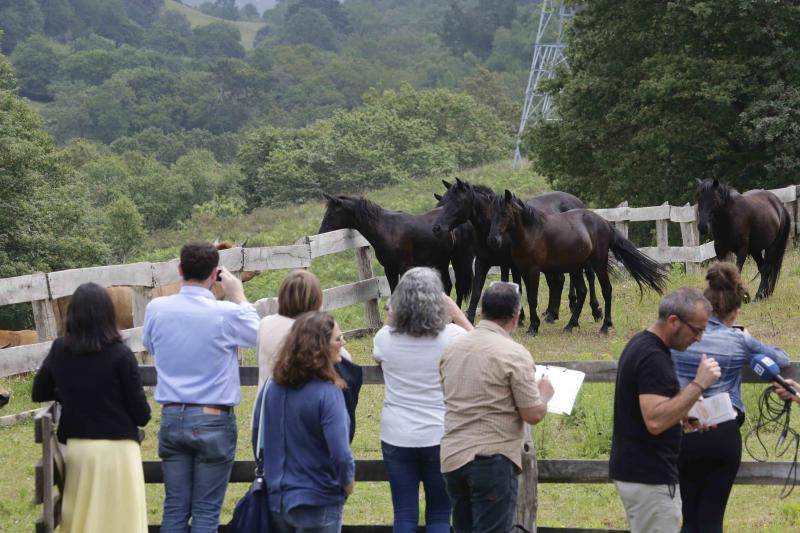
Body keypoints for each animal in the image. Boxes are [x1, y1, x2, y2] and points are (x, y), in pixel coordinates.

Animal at [318, 194, 476, 304]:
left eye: (331, 214)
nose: (320, 233)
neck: (387, 229)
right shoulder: (389, 268)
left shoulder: (403, 266)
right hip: (441, 260)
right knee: (448, 285)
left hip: (458, 259)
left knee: (459, 286)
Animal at [432, 178, 600, 324]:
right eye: (441, 202)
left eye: (458, 201)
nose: (437, 228)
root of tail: (578, 202)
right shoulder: (482, 262)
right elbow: (476, 293)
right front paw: (470, 319)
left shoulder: (510, 264)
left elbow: (513, 286)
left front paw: (520, 318)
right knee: (558, 281)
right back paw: (552, 314)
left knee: (589, 276)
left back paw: (595, 310)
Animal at [488, 189, 668, 334]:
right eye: (491, 213)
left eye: (505, 213)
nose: (493, 240)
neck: (532, 232)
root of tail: (604, 223)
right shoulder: (522, 269)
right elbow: (525, 296)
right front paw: (531, 324)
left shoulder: (533, 270)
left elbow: (532, 298)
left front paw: (533, 328)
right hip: (576, 266)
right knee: (582, 291)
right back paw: (570, 325)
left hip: (597, 263)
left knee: (606, 289)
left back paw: (604, 326)